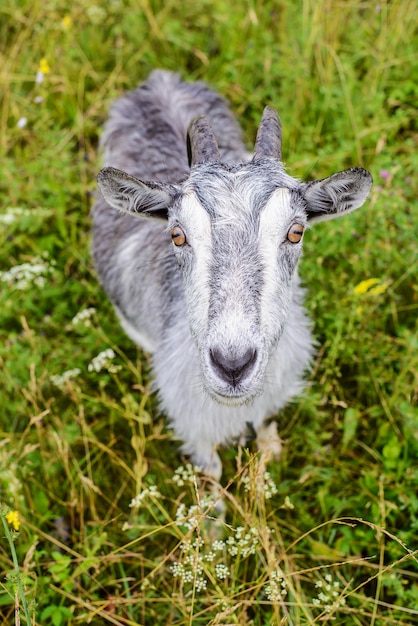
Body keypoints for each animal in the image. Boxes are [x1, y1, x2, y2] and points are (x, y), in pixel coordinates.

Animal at [92, 69, 372, 478]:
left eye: (296, 231)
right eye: (177, 234)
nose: (233, 366)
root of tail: (159, 80)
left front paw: (270, 452)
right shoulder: (193, 423)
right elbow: (211, 473)